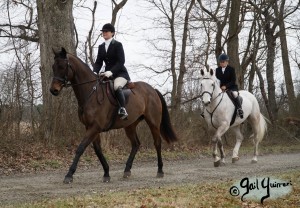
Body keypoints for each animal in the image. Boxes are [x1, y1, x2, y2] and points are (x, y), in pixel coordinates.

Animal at [48, 47, 176, 184]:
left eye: (62, 66)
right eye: (53, 66)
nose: (53, 90)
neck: (90, 93)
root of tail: (153, 90)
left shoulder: (94, 127)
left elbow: (81, 148)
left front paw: (69, 175)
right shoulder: (90, 127)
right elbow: (98, 150)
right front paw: (106, 173)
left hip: (153, 122)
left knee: (157, 143)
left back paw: (160, 171)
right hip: (130, 124)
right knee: (136, 144)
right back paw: (127, 170)